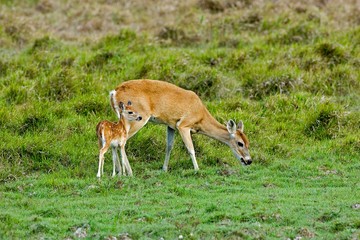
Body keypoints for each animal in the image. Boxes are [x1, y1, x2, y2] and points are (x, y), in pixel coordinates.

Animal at [111, 79, 252, 172]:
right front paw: (197, 169)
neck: (200, 115)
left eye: (248, 142)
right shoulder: (183, 125)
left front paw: (164, 169)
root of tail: (114, 92)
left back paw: (119, 171)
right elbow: (191, 148)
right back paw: (129, 172)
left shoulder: (171, 126)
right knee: (122, 142)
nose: (249, 160)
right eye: (240, 143)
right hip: (138, 118)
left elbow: (169, 147)